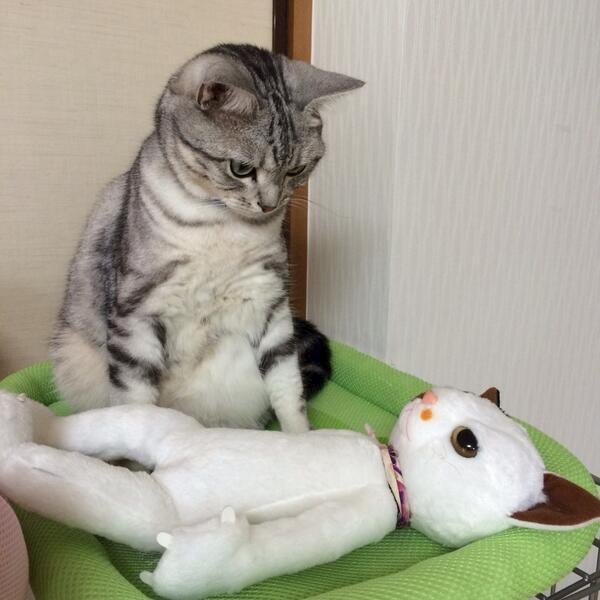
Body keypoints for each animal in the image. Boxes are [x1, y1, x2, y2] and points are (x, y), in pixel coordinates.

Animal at [50, 44, 363, 432]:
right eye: (241, 168)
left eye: (296, 169)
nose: (270, 204)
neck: (222, 224)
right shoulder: (137, 313)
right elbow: (136, 405)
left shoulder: (270, 304)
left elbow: (289, 391)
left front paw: (301, 440)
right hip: (72, 353)